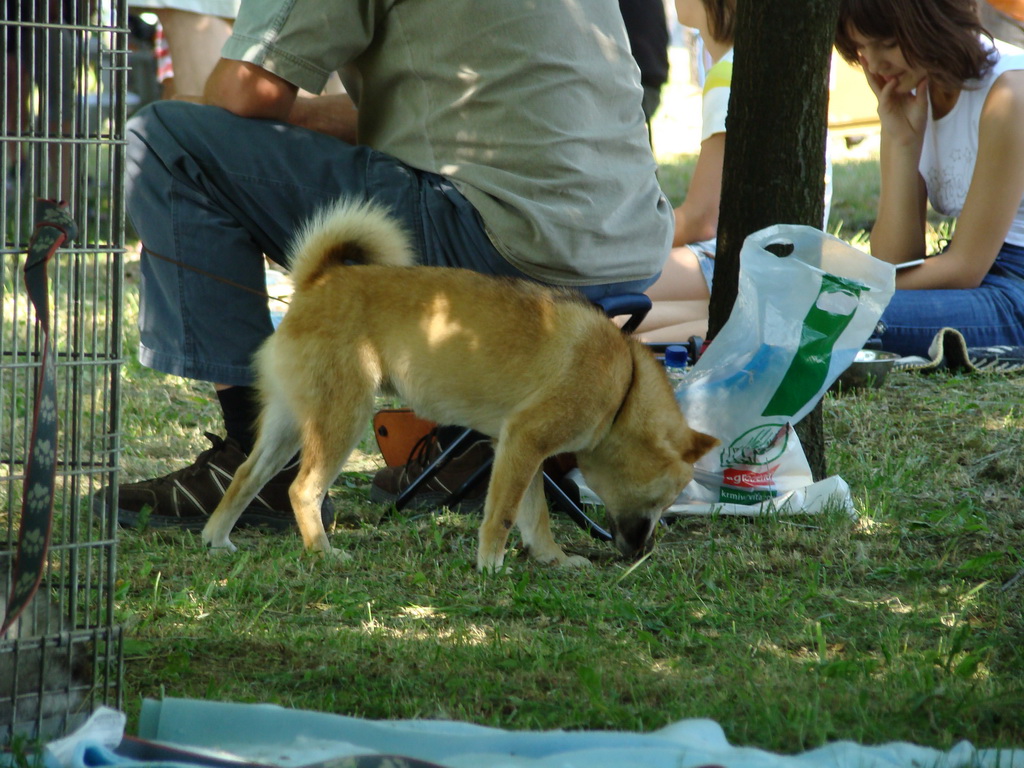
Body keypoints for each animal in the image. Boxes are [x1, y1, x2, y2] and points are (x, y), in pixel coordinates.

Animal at [197, 198, 712, 573]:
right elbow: (502, 515)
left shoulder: (520, 450)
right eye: (662, 501)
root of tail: (318, 281)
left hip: (290, 426)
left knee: (245, 477)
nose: (645, 552)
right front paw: (491, 566)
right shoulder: (524, 444)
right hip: (341, 420)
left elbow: (535, 517)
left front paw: (554, 559)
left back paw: (217, 539)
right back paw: (322, 551)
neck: (622, 381)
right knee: (303, 490)